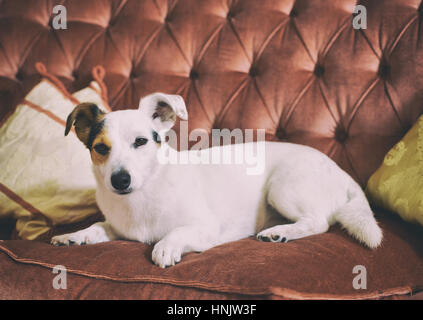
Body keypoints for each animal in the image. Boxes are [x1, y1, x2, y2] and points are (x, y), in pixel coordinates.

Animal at [52, 92, 384, 268]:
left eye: (141, 141)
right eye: (101, 149)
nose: (121, 180)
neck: (144, 193)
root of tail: (343, 174)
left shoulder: (205, 228)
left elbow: (176, 233)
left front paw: (165, 247)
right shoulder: (117, 227)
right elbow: (98, 226)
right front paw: (75, 235)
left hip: (282, 188)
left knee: (319, 222)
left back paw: (280, 232)